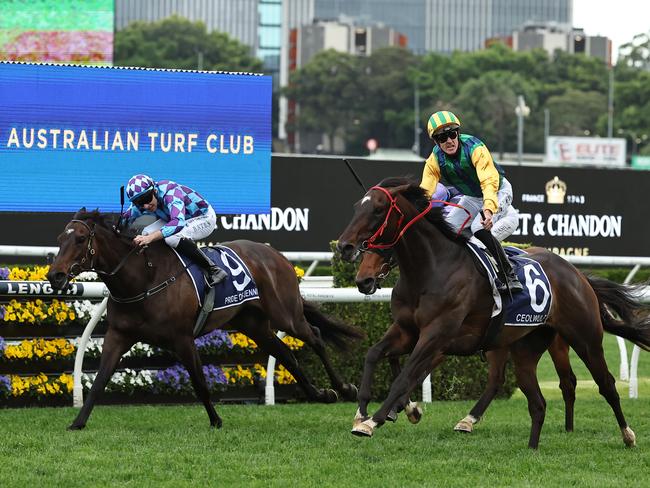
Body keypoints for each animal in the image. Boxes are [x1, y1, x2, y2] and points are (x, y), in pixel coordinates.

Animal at [47, 208, 362, 428]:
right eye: (60, 239)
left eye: (79, 239)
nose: (55, 276)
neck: (143, 278)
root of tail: (276, 255)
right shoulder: (118, 335)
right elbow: (99, 380)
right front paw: (77, 422)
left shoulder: (182, 338)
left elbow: (199, 381)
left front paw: (216, 420)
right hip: (253, 324)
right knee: (286, 354)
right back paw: (321, 394)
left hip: (286, 316)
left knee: (315, 337)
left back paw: (344, 388)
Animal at [356, 250, 576, 432]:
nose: (364, 280)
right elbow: (392, 360)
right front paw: (397, 409)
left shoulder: (437, 344)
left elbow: (413, 374)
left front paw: (402, 410)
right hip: (501, 343)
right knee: (497, 379)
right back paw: (468, 419)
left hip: (551, 343)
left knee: (566, 380)